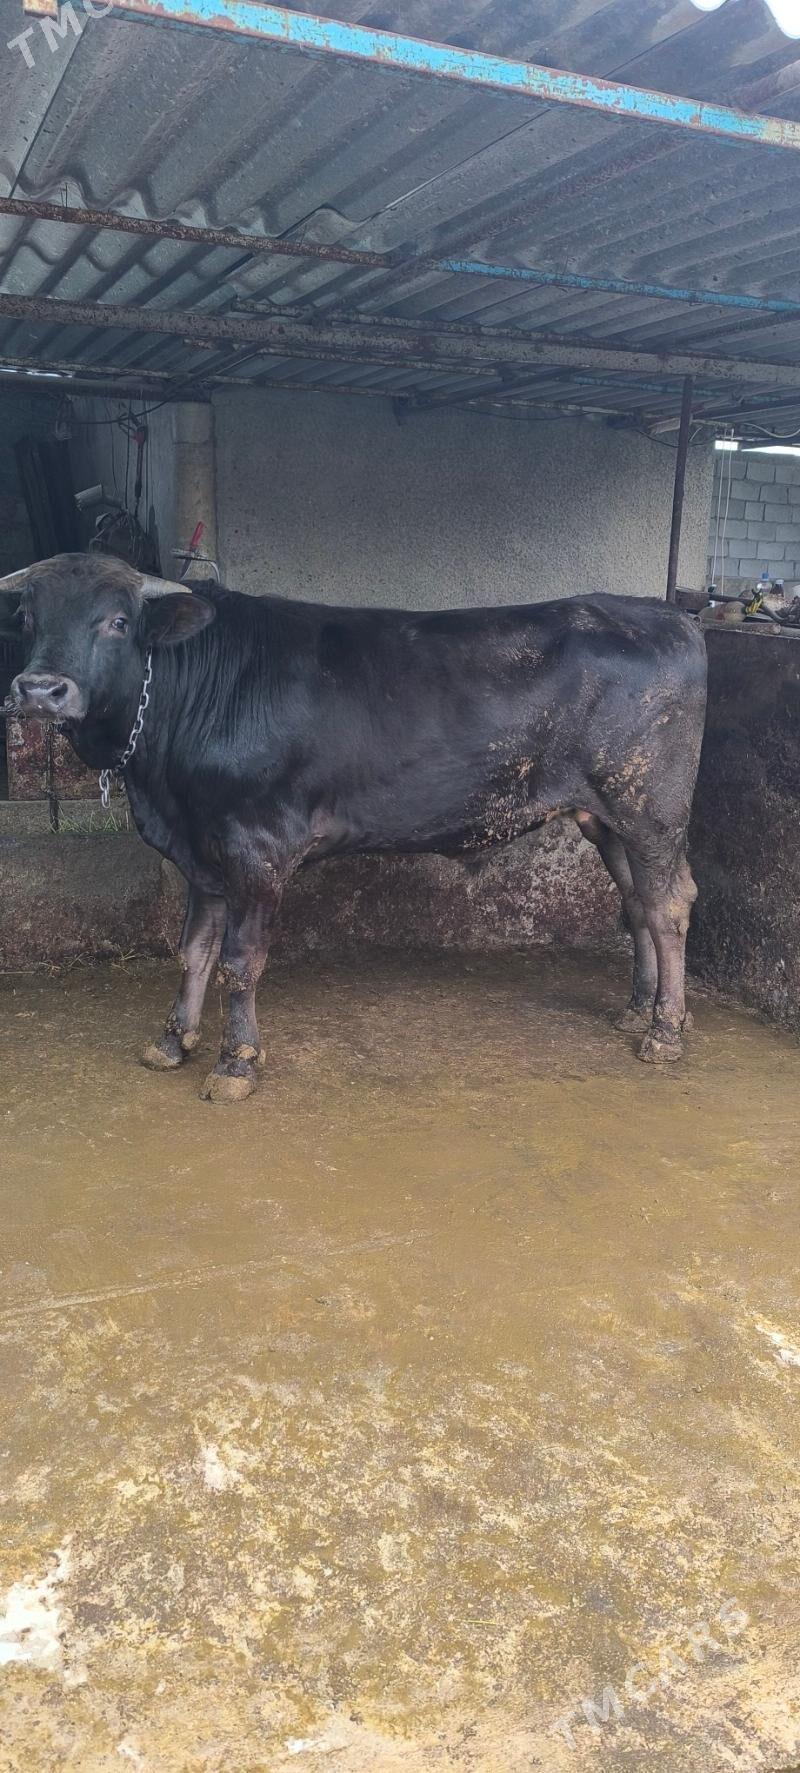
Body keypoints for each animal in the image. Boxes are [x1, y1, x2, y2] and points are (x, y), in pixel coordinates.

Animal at [2, 553, 707, 1102]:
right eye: (29, 617)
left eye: (117, 621)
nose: (40, 689)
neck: (162, 785)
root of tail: (664, 614)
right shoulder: (202, 850)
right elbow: (193, 951)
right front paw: (173, 1041)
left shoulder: (256, 847)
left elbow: (240, 960)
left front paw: (236, 1063)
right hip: (605, 819)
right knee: (637, 903)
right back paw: (638, 1010)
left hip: (650, 810)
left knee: (669, 905)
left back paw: (665, 1032)